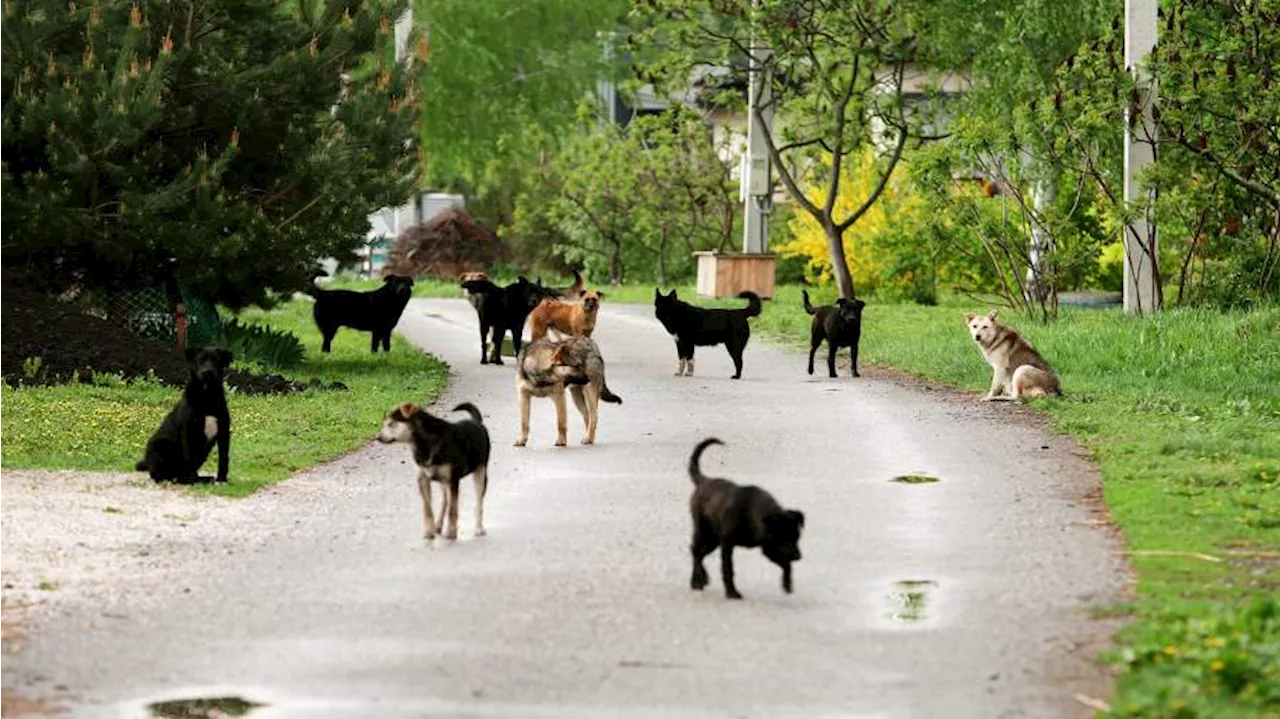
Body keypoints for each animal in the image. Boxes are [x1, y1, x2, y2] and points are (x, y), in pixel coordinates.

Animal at [135, 345, 235, 481]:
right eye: (200, 360)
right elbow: (190, 459)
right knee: (158, 475)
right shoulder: (188, 431)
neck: (206, 397)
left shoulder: (224, 432)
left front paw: (221, 479)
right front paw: (193, 480)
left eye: (215, 360)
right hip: (161, 446)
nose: (207, 372)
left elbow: (223, 459)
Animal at [686, 437, 803, 598]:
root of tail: (704, 481)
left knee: (699, 553)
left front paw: (787, 584)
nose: (798, 556)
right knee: (696, 551)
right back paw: (699, 579)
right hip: (705, 532)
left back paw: (698, 580)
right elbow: (728, 569)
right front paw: (732, 592)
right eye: (783, 536)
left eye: (797, 536)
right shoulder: (728, 544)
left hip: (714, 539)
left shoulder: (770, 547)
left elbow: (786, 564)